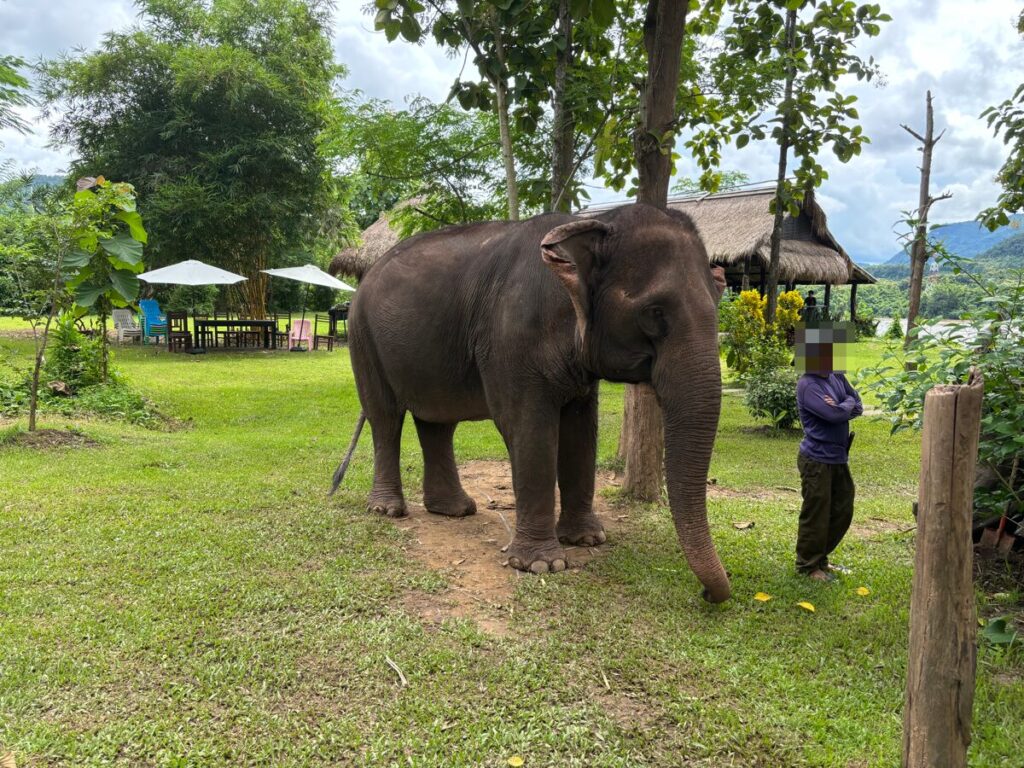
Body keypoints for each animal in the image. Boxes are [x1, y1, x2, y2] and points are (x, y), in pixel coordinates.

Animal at [348, 201, 733, 606]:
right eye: (654, 312)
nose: (707, 594)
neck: (592, 224)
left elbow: (581, 431)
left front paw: (587, 539)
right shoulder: (511, 339)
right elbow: (528, 428)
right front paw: (542, 565)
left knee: (437, 422)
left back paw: (455, 510)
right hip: (362, 335)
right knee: (385, 418)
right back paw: (388, 510)